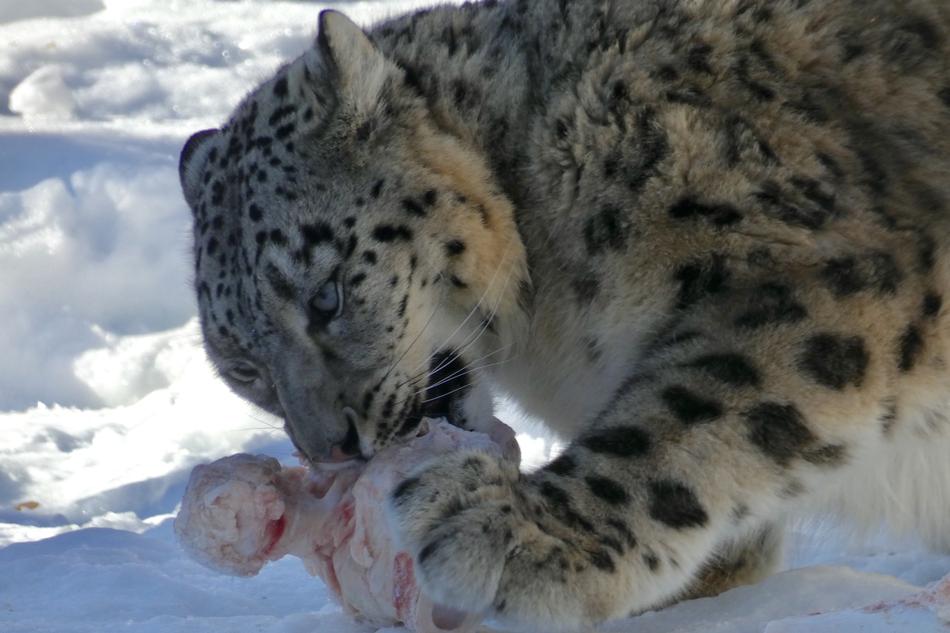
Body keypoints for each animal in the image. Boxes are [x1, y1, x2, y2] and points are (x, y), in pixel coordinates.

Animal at [178, 0, 950, 628]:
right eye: (242, 367)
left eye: (326, 295)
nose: (331, 448)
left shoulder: (808, 270)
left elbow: (692, 412)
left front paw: (514, 530)